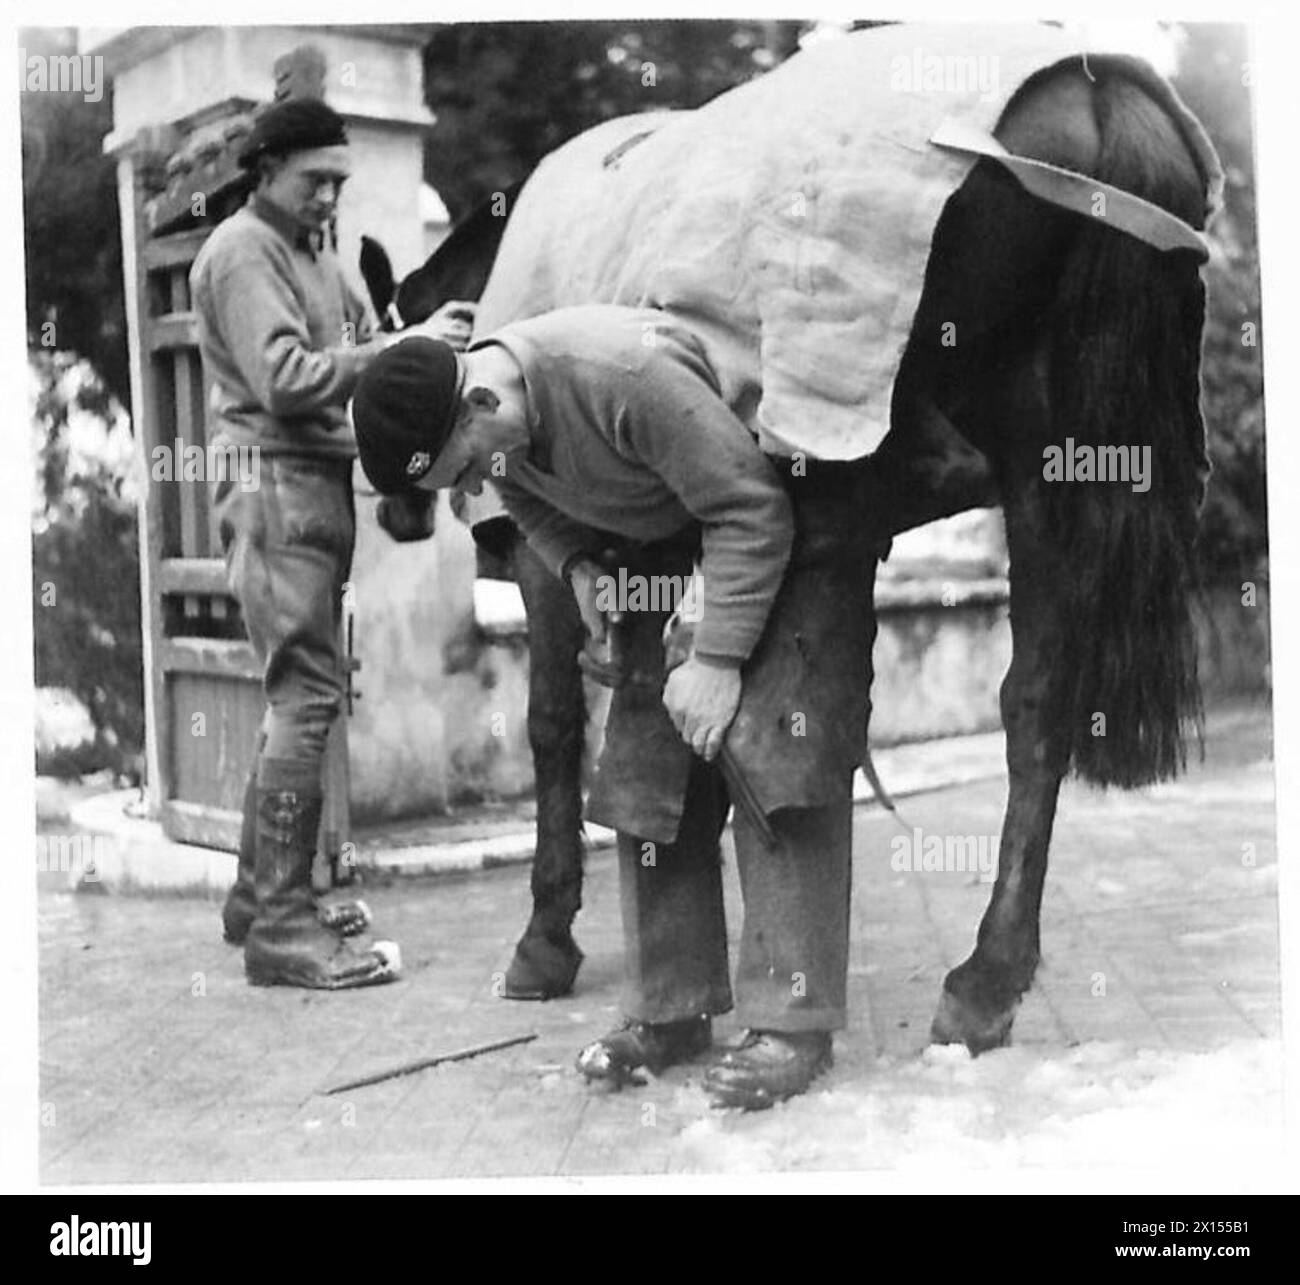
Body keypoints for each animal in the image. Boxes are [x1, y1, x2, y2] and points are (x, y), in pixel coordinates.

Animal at [366, 45, 1216, 1050]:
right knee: (1035, 705)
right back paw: (988, 977)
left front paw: (546, 935)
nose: (397, 514)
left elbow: (552, 725)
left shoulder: (547, 551)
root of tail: (1099, 93)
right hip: (1051, 452)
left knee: (904, 486)